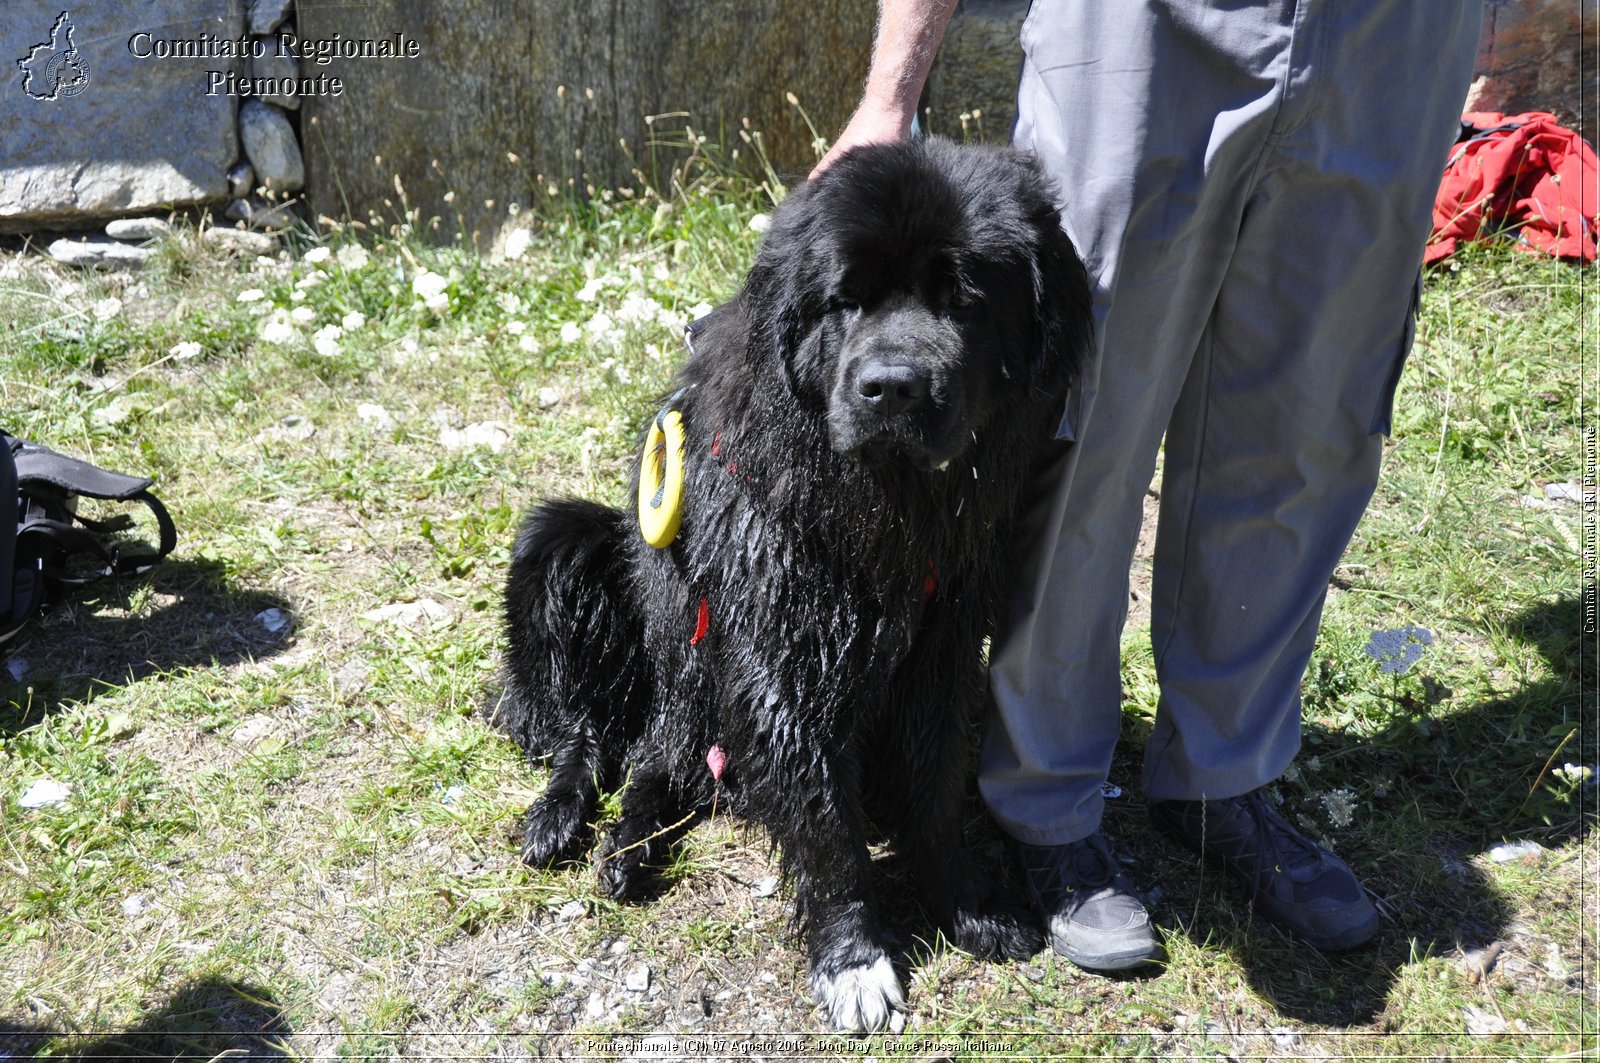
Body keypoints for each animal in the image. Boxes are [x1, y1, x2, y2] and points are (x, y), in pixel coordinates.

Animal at [489, 135, 1088, 1030]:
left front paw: (968, 900)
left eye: (965, 299)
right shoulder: (780, 642)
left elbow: (936, 776)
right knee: (590, 730)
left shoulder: (943, 636)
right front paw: (854, 958)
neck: (886, 506)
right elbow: (821, 813)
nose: (892, 386)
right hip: (565, 550)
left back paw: (632, 845)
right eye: (845, 300)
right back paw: (563, 819)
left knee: (654, 763)